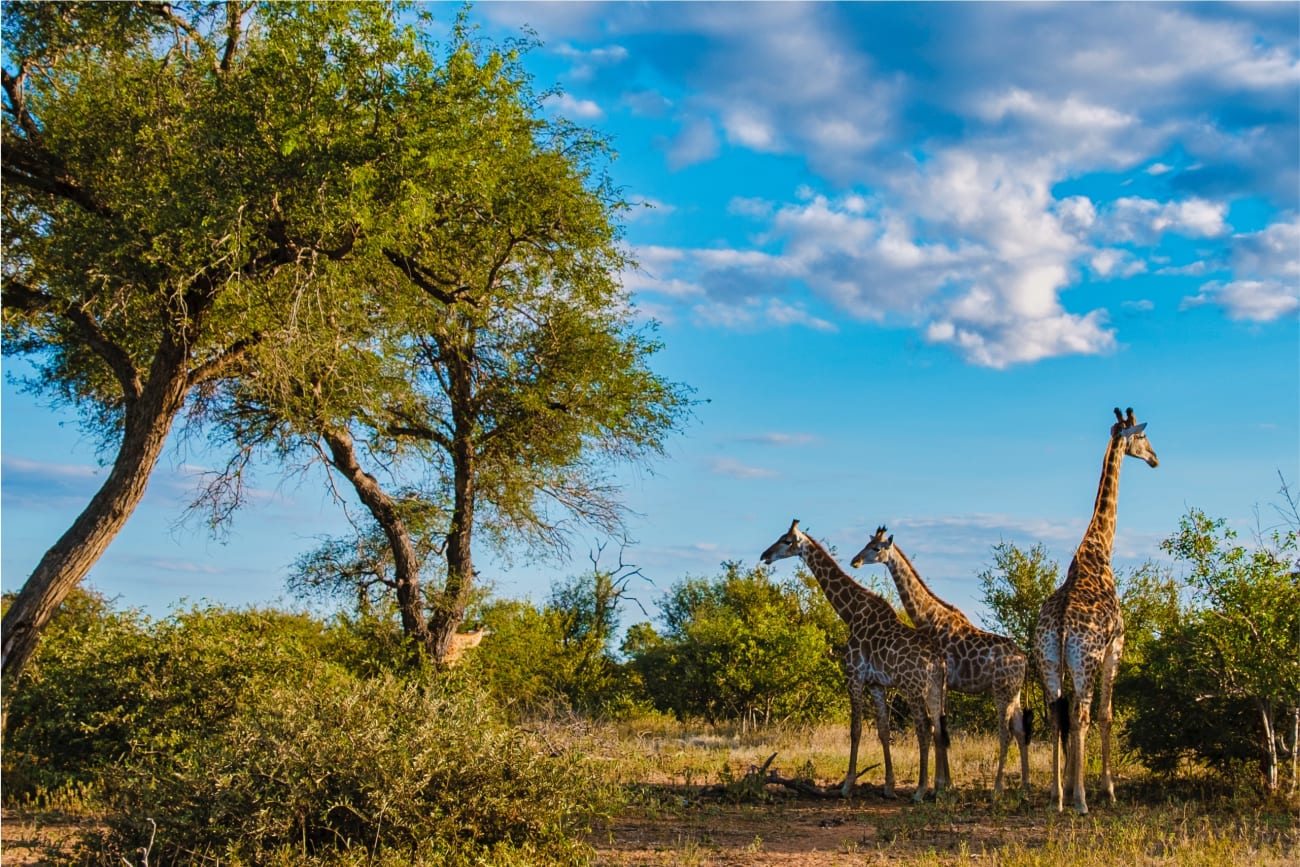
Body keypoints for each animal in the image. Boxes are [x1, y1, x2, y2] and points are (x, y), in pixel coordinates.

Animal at [759, 519, 951, 805]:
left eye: (786, 540)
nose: (765, 556)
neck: (850, 613)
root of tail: (938, 660)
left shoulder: (854, 675)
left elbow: (856, 729)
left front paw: (847, 786)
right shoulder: (876, 684)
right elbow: (883, 730)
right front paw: (889, 787)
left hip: (913, 688)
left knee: (924, 728)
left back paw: (920, 790)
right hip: (936, 689)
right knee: (938, 728)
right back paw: (938, 788)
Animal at [852, 525, 1034, 795]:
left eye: (876, 548)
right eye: (867, 544)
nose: (855, 561)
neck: (929, 618)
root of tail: (1024, 659)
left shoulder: (942, 680)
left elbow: (939, 727)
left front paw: (942, 785)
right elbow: (942, 727)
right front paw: (947, 784)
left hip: (1001, 690)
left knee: (1005, 732)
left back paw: (997, 788)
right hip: (1015, 691)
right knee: (1021, 730)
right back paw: (1024, 785)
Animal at [1034, 408, 1159, 816]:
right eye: (1142, 438)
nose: (1155, 459)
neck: (1098, 550)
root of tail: (1059, 627)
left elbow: (1068, 717)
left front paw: (1070, 785)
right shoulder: (1115, 647)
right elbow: (1106, 716)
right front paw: (1107, 789)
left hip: (1049, 662)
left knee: (1057, 714)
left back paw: (1057, 796)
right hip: (1085, 660)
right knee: (1083, 715)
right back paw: (1082, 800)